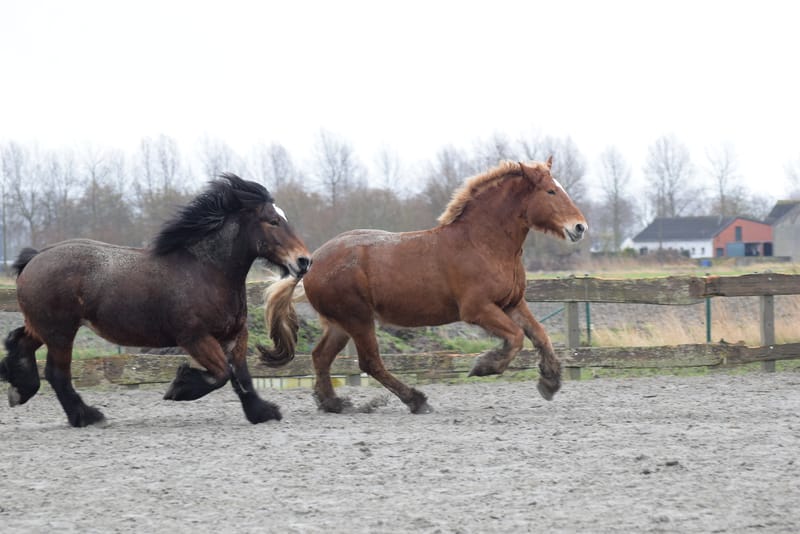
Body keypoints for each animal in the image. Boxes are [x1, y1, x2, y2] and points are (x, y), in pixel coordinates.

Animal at [0, 174, 311, 427]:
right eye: (273, 221)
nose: (304, 261)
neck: (207, 271)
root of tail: (34, 259)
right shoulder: (195, 337)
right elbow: (222, 373)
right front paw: (180, 387)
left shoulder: (235, 335)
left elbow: (242, 376)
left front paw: (263, 412)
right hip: (61, 332)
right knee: (57, 373)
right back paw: (87, 416)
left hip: (45, 328)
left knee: (20, 343)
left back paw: (20, 390)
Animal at [260, 158, 587, 414]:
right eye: (551, 191)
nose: (580, 227)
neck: (483, 243)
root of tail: (311, 263)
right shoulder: (478, 309)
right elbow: (517, 338)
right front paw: (485, 365)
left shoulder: (512, 303)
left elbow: (540, 335)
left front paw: (550, 382)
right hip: (358, 319)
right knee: (370, 362)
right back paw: (416, 400)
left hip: (340, 324)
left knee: (321, 356)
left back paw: (333, 403)